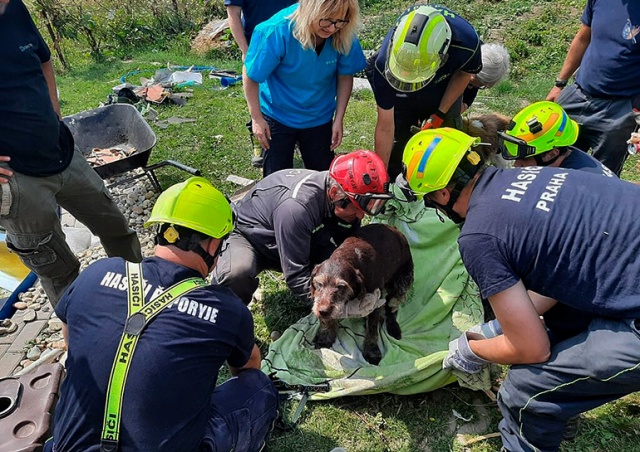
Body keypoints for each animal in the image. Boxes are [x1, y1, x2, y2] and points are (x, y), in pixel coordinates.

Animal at [312, 224, 416, 366]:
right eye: (319, 284)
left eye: (341, 286)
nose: (322, 311)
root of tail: (395, 228)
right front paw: (326, 336)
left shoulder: (375, 302)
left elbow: (372, 328)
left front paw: (371, 351)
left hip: (401, 282)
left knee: (392, 306)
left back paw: (393, 326)